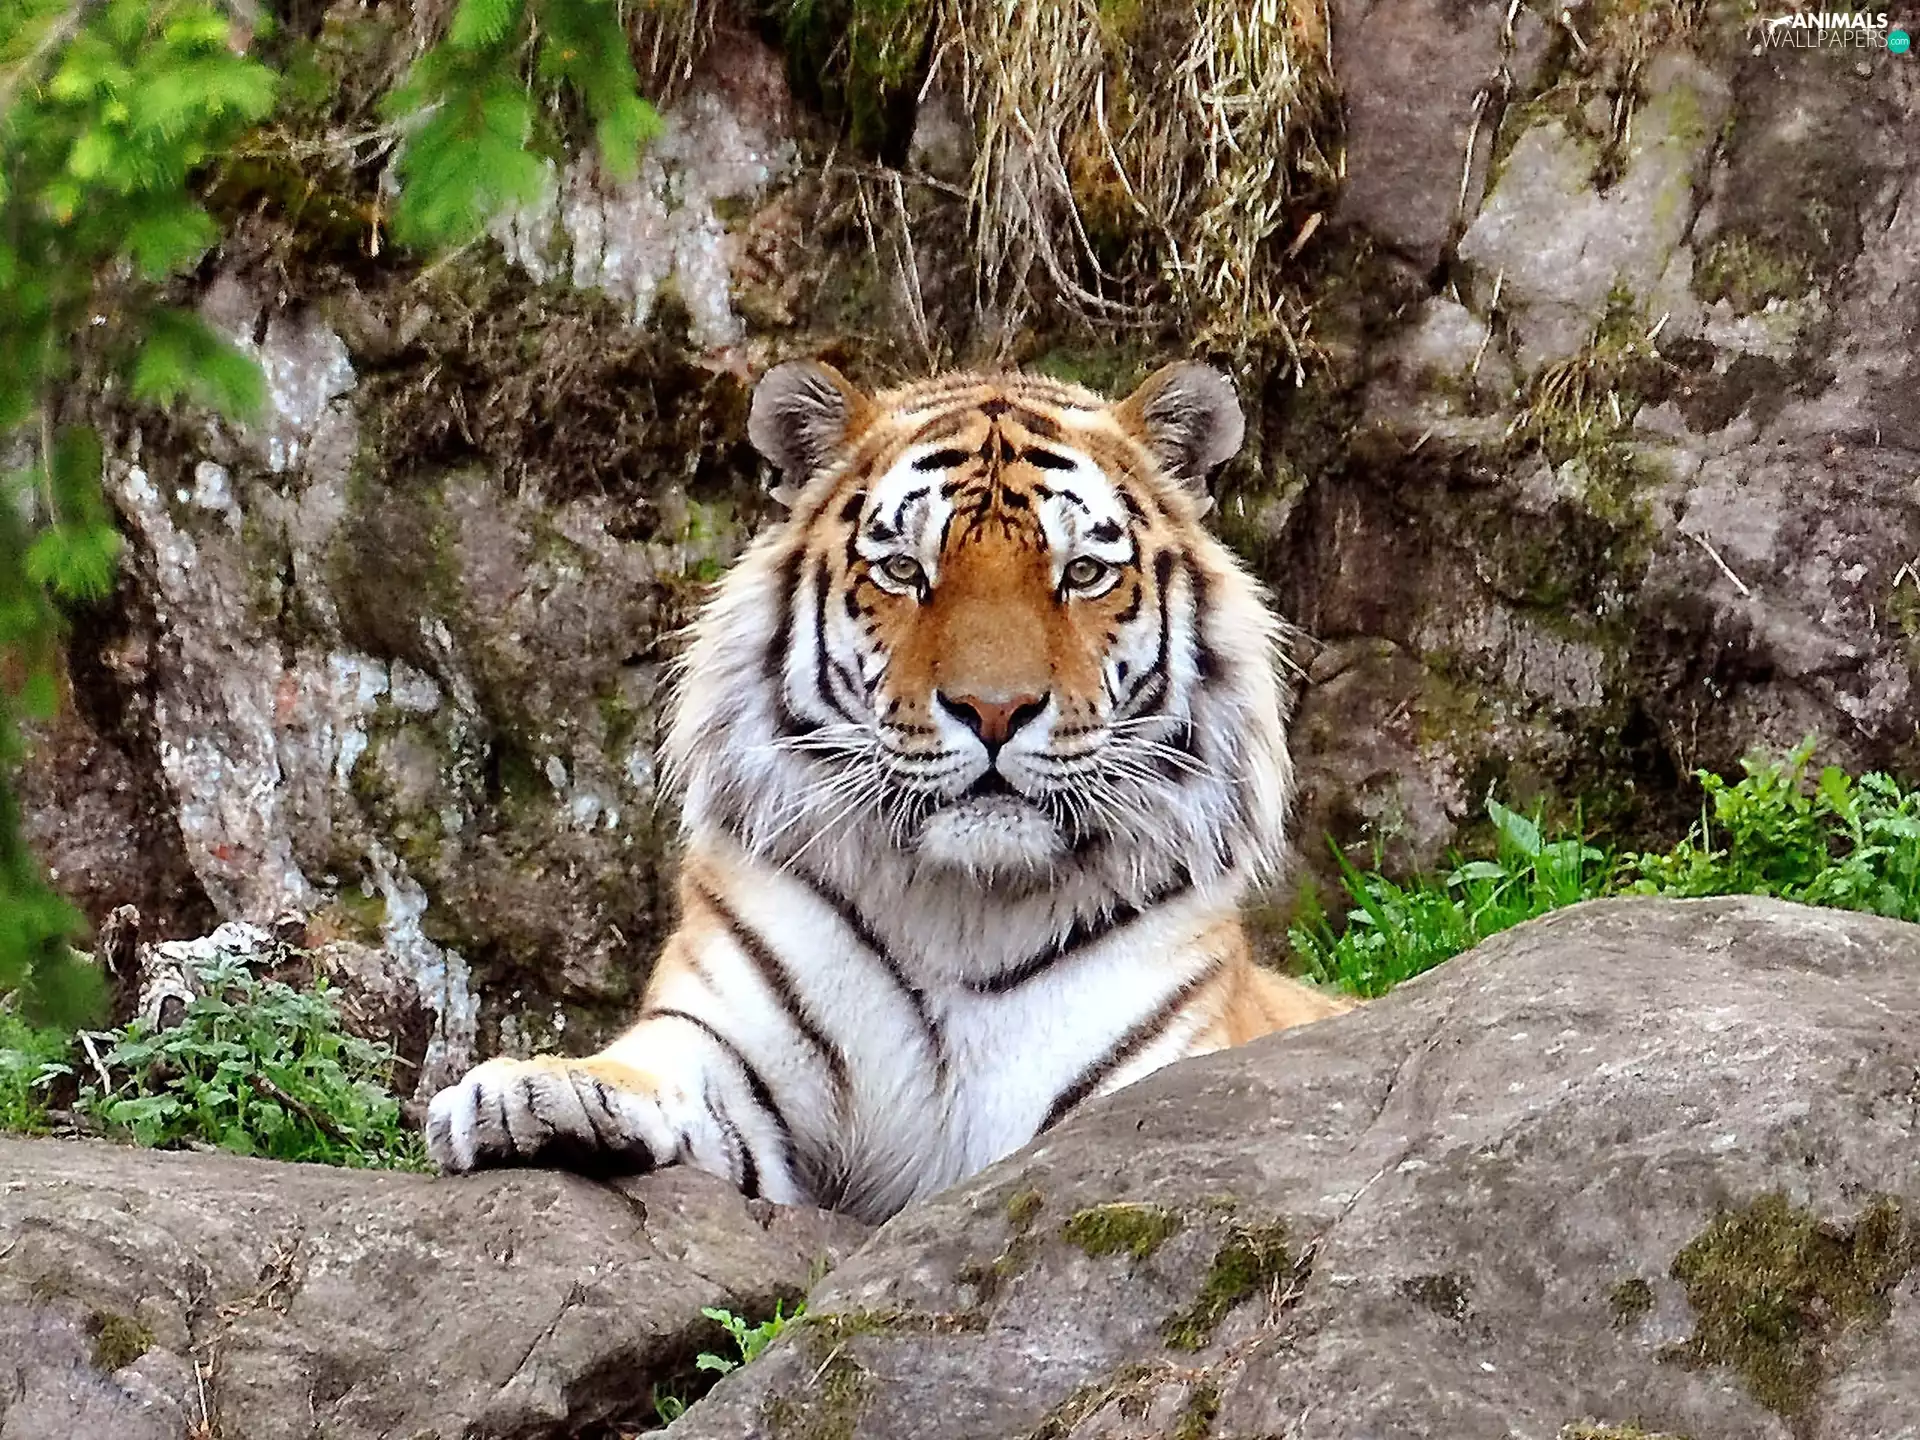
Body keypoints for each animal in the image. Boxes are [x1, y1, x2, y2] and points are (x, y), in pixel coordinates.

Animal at [425, 359, 1352, 1223]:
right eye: (906, 569)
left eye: (1083, 572)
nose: (994, 709)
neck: (965, 914)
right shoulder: (731, 1047)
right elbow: (658, 1060)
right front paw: (533, 1094)